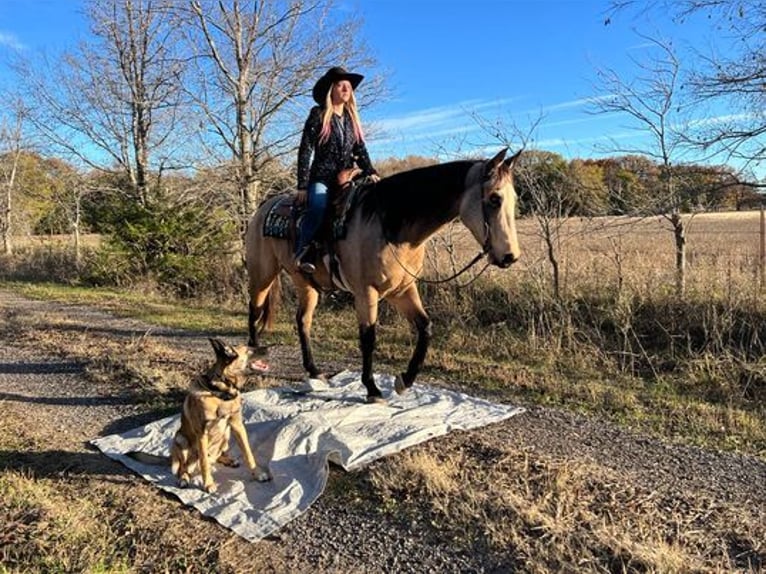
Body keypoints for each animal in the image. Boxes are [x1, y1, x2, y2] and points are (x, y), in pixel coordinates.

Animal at [131, 340, 272, 498]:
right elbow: (204, 463)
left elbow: (248, 453)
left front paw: (258, 473)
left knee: (214, 457)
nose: (271, 347)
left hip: (226, 435)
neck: (221, 392)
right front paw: (208, 484)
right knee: (184, 467)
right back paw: (184, 479)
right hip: (180, 439)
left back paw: (228, 460)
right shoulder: (202, 434)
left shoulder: (237, 426)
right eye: (249, 350)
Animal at [246, 147, 520, 404]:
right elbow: (368, 338)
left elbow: (425, 327)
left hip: (305, 282)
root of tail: (264, 207)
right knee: (255, 310)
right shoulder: (366, 292)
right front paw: (372, 389)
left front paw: (404, 380)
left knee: (302, 320)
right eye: (494, 198)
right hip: (262, 274)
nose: (510, 256)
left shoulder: (402, 290)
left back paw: (314, 371)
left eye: (514, 199)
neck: (391, 226)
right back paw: (253, 361)